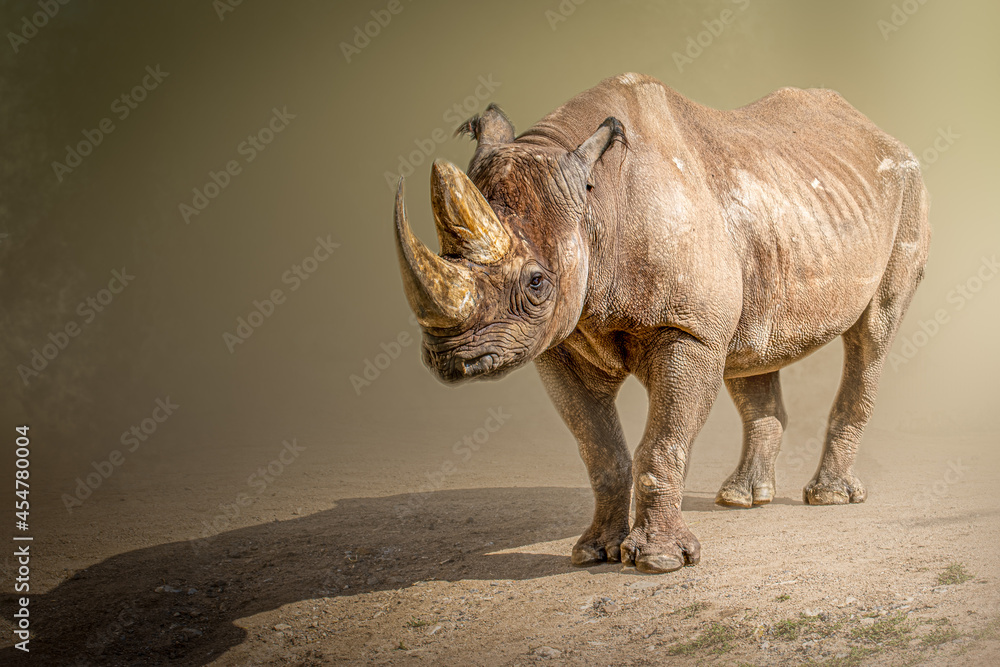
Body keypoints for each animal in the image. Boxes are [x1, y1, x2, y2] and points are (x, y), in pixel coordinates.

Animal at [392, 73, 930, 573]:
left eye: (537, 283)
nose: (450, 358)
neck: (597, 205)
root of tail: (878, 132)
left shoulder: (687, 330)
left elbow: (662, 444)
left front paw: (658, 561)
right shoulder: (563, 343)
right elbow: (600, 449)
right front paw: (593, 553)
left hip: (907, 190)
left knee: (872, 334)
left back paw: (829, 497)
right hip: (779, 207)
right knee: (752, 350)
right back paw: (741, 499)